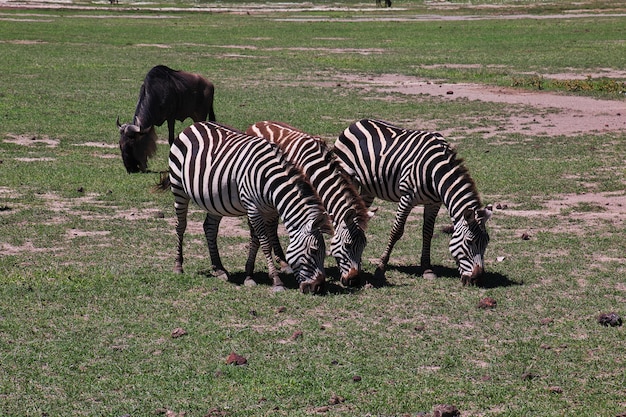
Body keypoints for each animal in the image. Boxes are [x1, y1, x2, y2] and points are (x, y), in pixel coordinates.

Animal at [165, 122, 332, 294]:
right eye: (313, 250)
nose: (319, 287)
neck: (270, 181)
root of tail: (193, 125)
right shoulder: (253, 208)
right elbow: (264, 243)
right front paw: (276, 281)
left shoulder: (268, 211)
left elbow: (255, 241)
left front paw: (249, 276)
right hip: (178, 188)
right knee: (180, 226)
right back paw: (178, 266)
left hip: (215, 199)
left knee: (210, 228)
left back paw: (219, 269)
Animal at [244, 120, 370, 286]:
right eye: (347, 246)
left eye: (364, 246)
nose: (354, 280)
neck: (318, 172)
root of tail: (258, 123)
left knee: (272, 226)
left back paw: (283, 262)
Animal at [334, 118, 490, 284]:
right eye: (469, 242)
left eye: (487, 242)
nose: (476, 279)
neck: (435, 172)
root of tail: (358, 122)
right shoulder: (407, 198)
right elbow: (396, 231)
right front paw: (381, 268)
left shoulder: (434, 203)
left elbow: (427, 232)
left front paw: (427, 268)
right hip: (348, 177)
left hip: (367, 189)